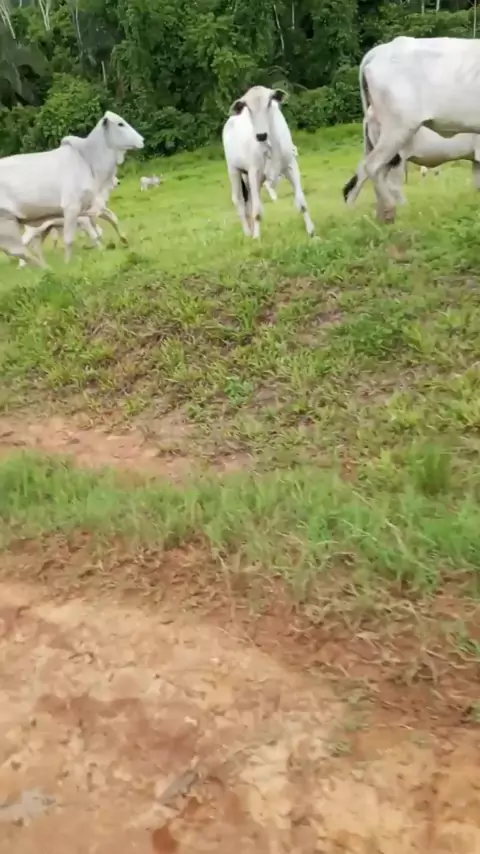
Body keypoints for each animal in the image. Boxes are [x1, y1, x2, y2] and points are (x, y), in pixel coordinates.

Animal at [0, 111, 143, 266]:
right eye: (120, 124)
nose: (142, 140)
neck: (87, 160)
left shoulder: (90, 207)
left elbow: (111, 220)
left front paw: (123, 240)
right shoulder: (71, 208)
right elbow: (70, 240)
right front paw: (68, 264)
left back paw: (45, 267)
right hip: (7, 223)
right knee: (20, 250)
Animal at [222, 86, 314, 239]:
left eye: (270, 102)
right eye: (247, 107)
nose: (261, 135)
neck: (271, 144)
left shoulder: (291, 166)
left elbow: (302, 203)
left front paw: (312, 233)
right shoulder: (254, 171)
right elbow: (257, 211)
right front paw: (256, 238)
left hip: (246, 175)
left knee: (249, 201)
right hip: (233, 170)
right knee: (239, 200)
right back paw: (248, 232)